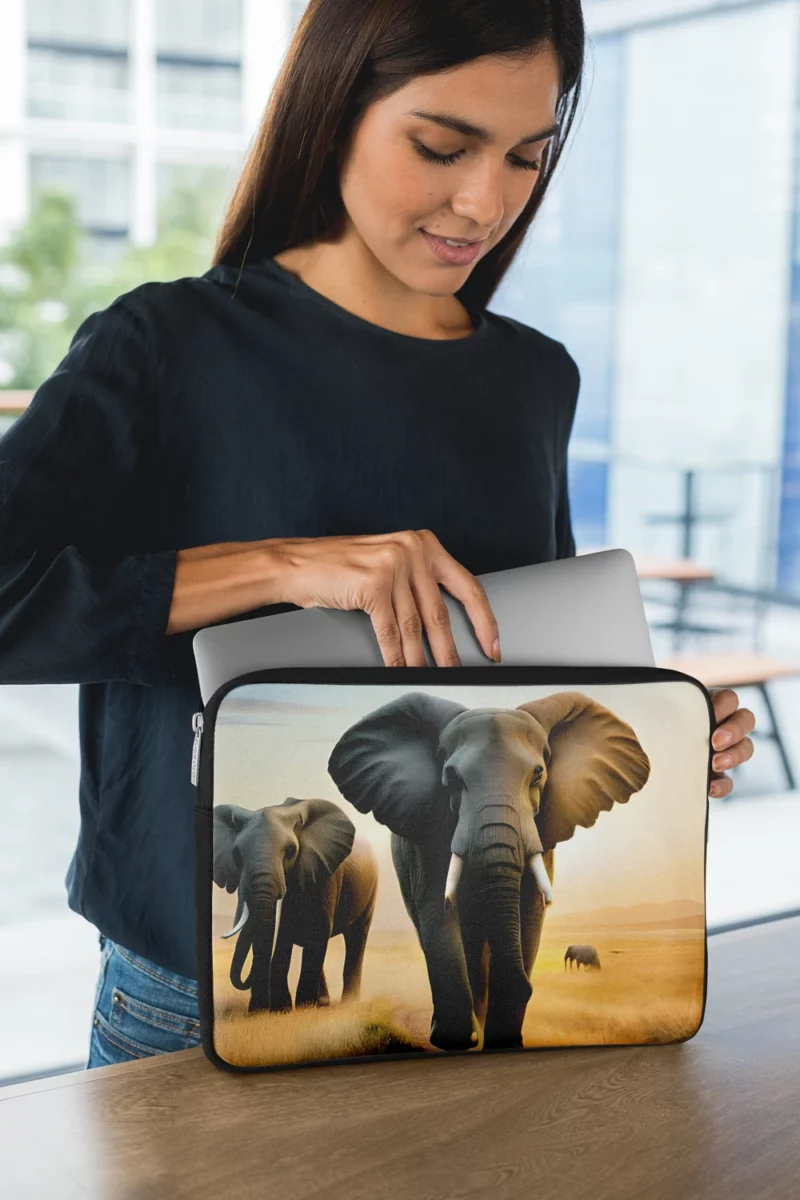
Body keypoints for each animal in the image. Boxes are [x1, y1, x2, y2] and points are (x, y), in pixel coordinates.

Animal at [214, 796, 381, 1012]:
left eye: (291, 851)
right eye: (236, 854)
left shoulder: (324, 871)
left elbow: (317, 929)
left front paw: (303, 1009)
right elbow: (285, 932)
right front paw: (277, 1010)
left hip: (370, 891)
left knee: (356, 938)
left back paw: (347, 1004)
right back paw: (323, 1004)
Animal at [328, 696, 647, 1051]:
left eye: (537, 776)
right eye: (452, 778)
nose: (525, 987)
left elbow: (530, 913)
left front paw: (504, 1038)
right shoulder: (428, 831)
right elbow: (438, 909)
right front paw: (455, 1040)